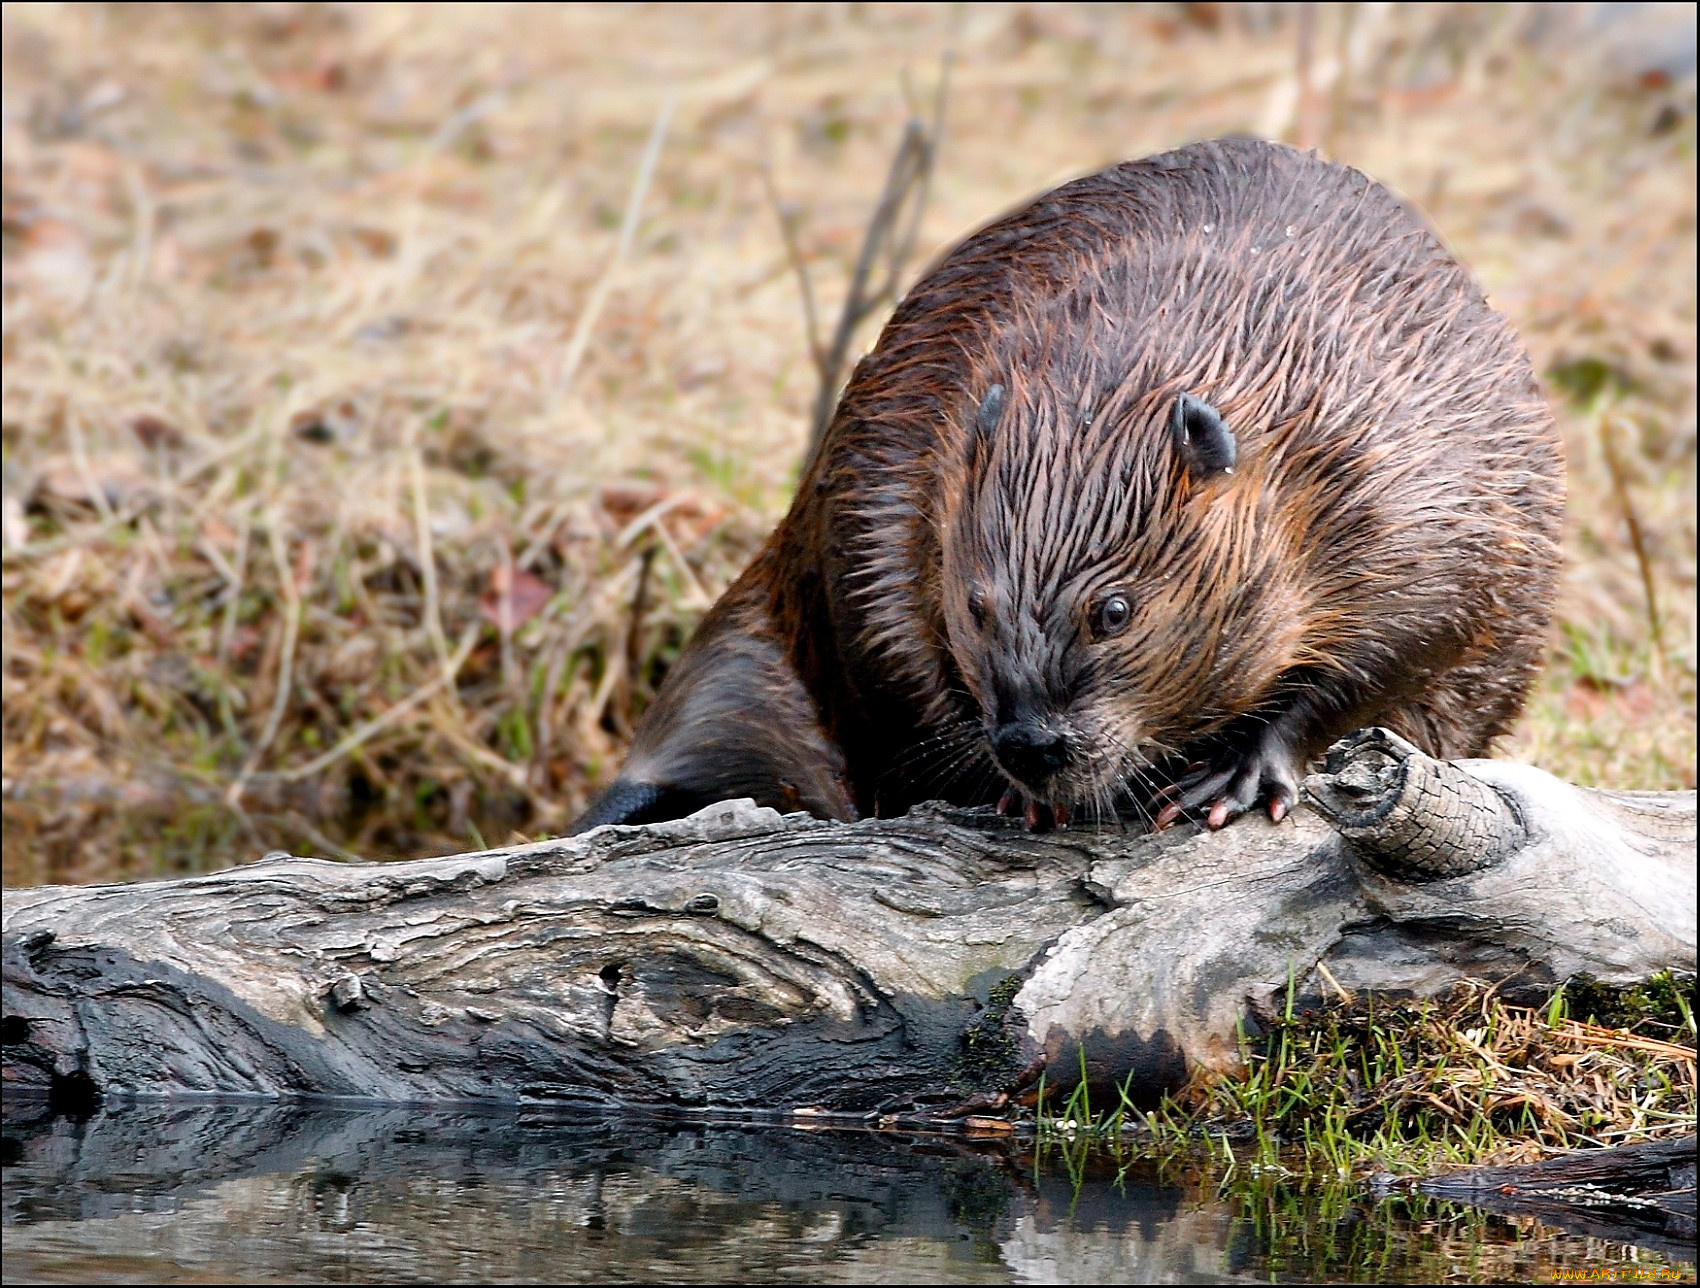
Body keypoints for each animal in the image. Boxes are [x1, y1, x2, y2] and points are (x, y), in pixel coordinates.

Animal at [571, 138, 1564, 836]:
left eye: (1114, 611)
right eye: (976, 606)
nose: (1034, 745)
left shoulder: (1416, 485)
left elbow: (1417, 635)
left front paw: (1235, 777)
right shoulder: (898, 476)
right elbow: (895, 653)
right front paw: (1017, 795)